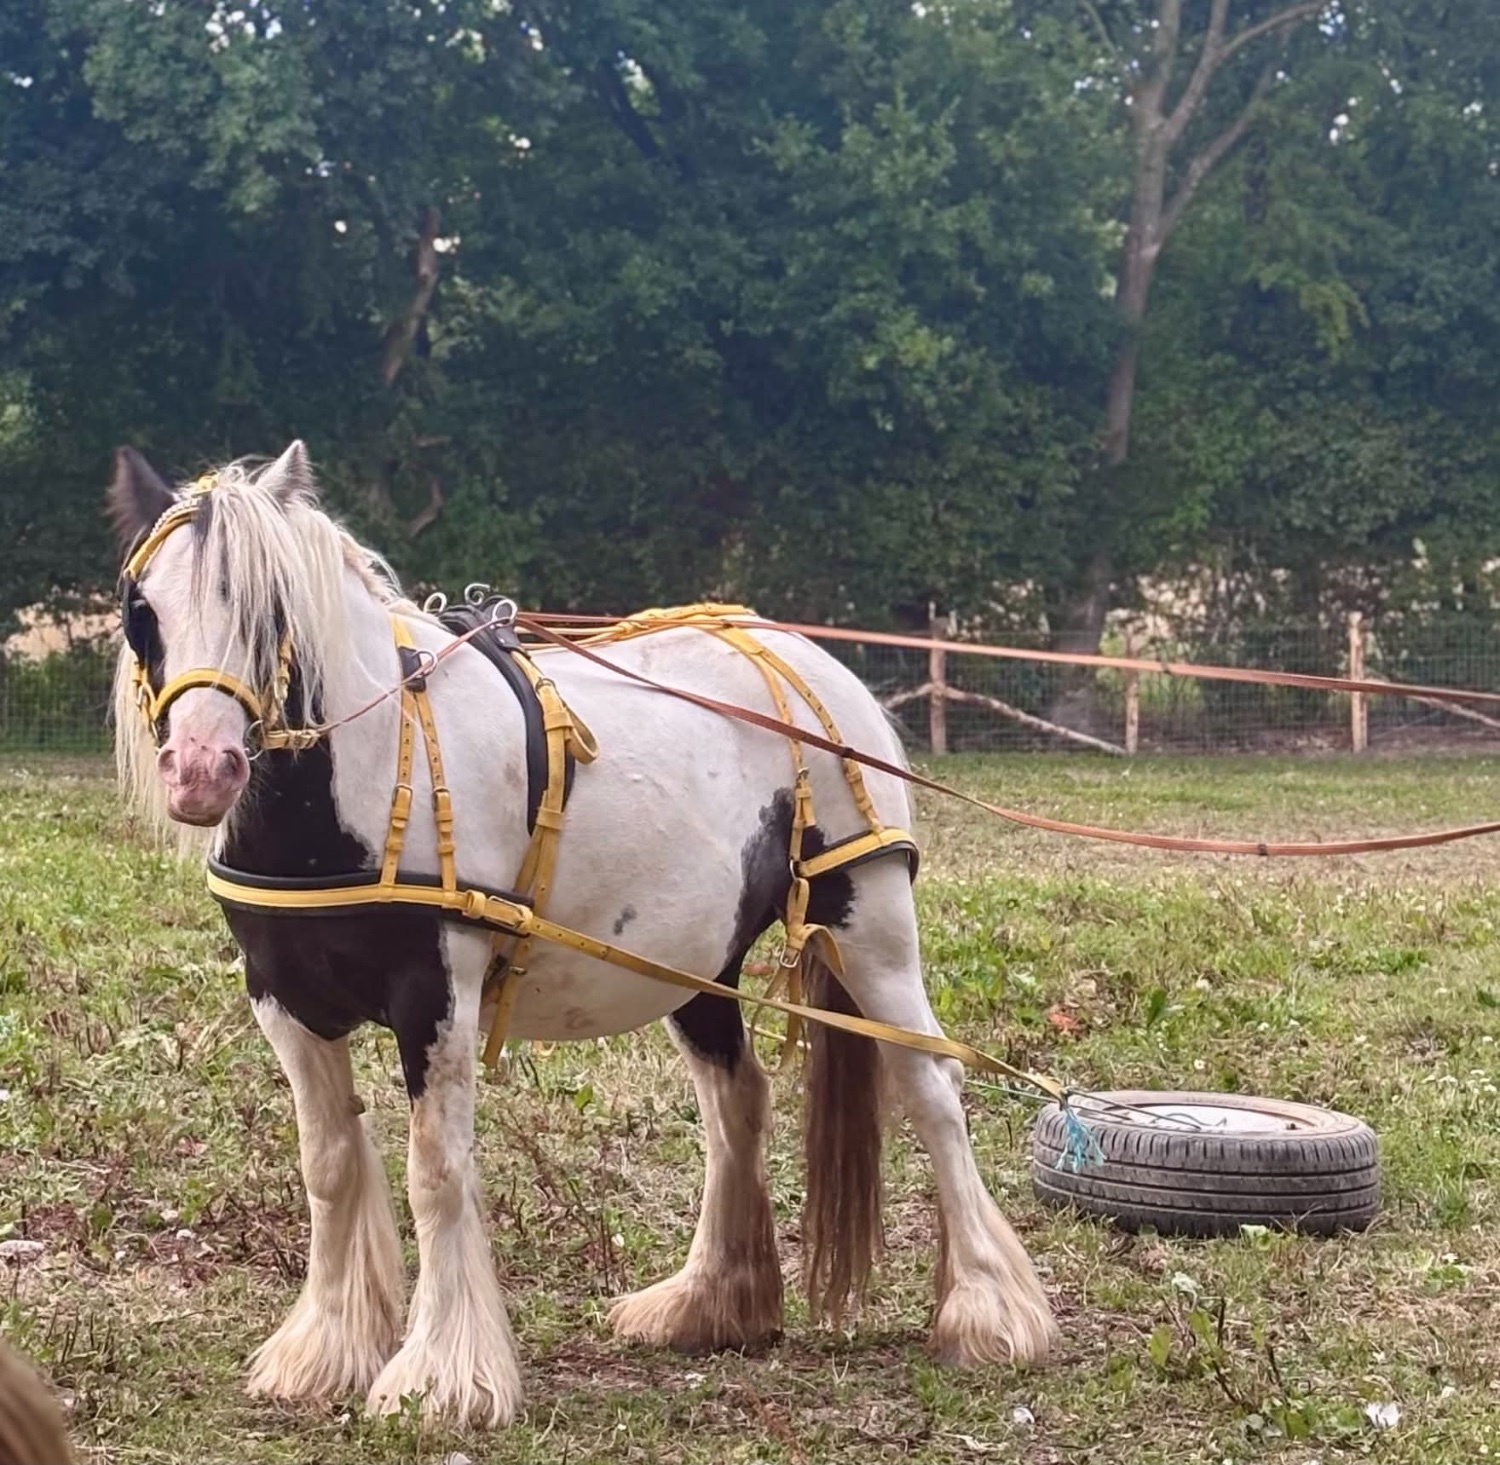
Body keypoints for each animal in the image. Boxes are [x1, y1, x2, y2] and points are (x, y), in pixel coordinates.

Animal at [106, 441, 1054, 1427]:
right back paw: (710, 1300)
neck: (353, 786)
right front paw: (326, 1349)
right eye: (142, 611)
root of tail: (800, 654)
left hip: (868, 921)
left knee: (931, 1087)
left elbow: (435, 1169)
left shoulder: (434, 993)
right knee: (737, 1101)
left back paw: (988, 1310)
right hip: (698, 964)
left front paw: (444, 1375)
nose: (202, 770)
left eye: (270, 609)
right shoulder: (284, 999)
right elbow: (328, 1165)